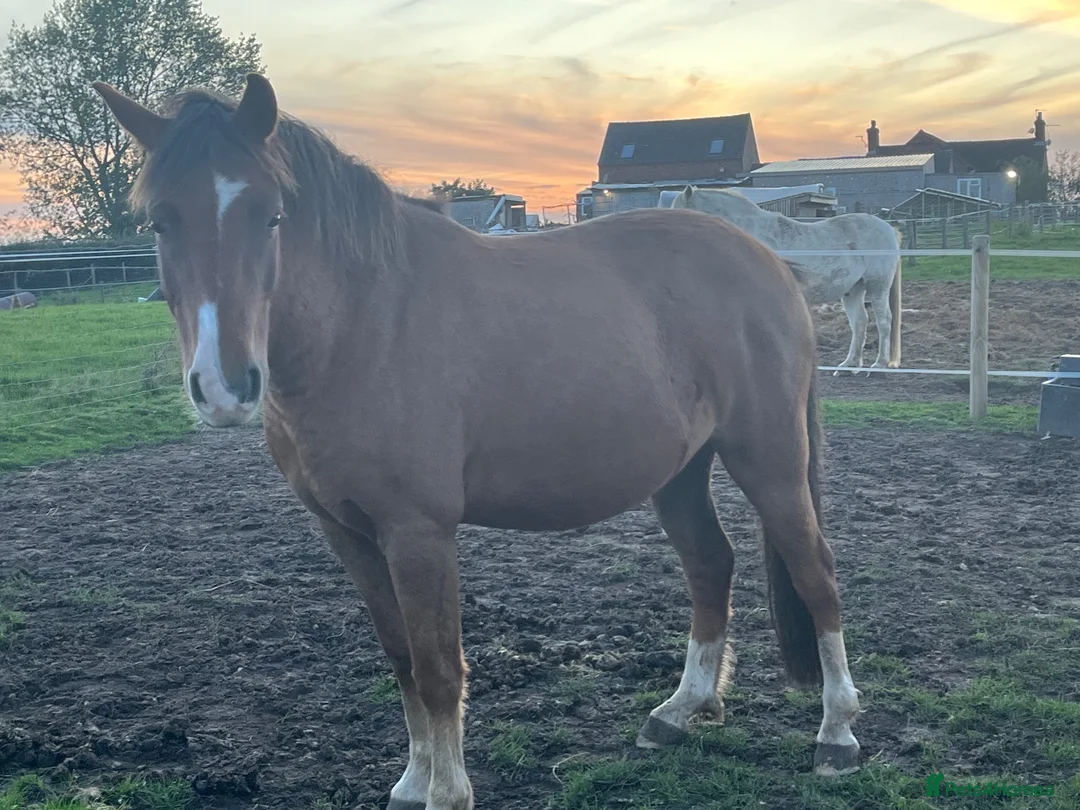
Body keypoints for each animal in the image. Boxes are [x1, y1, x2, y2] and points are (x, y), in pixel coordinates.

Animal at [94, 74, 862, 810]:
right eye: (160, 221)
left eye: (271, 214)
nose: (225, 386)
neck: (363, 325)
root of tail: (768, 262)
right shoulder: (347, 532)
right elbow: (401, 658)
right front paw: (411, 785)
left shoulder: (419, 532)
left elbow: (438, 667)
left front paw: (448, 792)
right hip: (679, 473)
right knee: (711, 565)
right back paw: (680, 711)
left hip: (769, 460)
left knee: (816, 572)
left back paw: (837, 735)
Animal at [665, 186, 903, 374]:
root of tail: (888, 228)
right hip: (853, 290)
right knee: (860, 322)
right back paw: (849, 365)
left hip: (877, 287)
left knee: (884, 321)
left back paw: (879, 365)